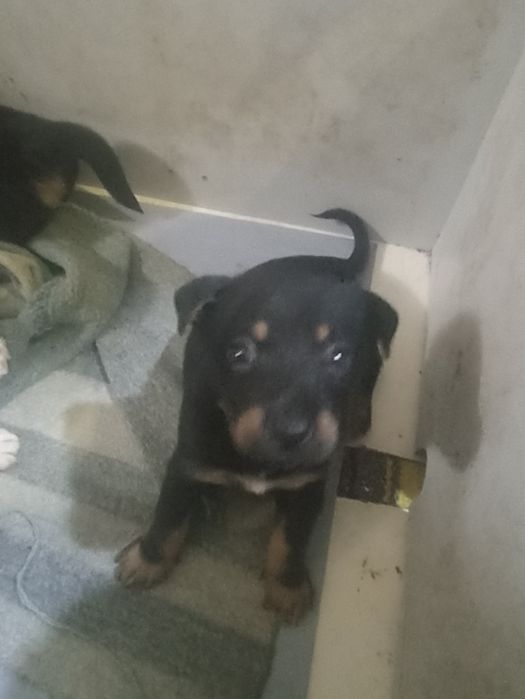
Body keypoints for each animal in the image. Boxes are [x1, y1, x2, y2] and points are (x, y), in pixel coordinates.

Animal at [115, 209, 398, 624]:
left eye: (338, 356)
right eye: (239, 354)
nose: (292, 432)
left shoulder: (306, 486)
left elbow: (290, 538)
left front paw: (287, 589)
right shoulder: (187, 464)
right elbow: (168, 517)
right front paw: (146, 561)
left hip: (374, 366)